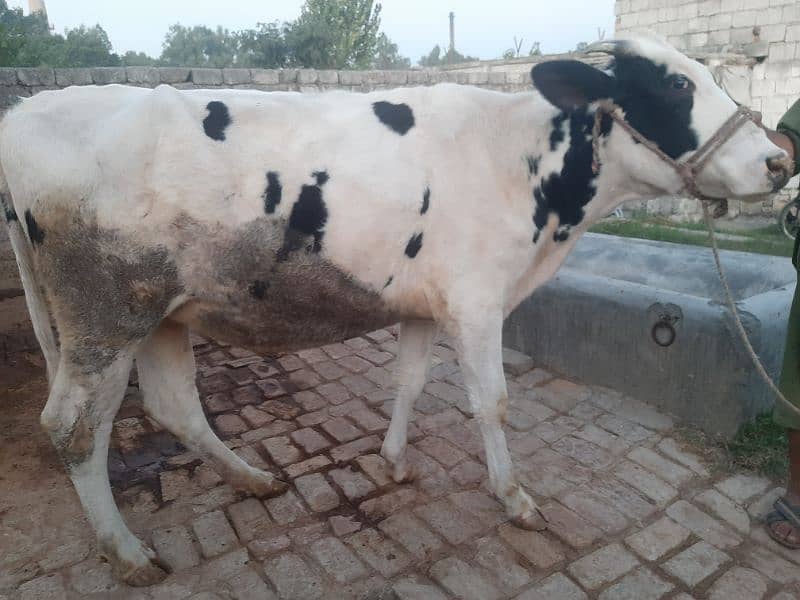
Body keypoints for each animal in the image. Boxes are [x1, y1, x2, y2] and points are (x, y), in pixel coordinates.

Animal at [0, 34, 788, 584]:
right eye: (678, 83)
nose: (780, 160)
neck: (524, 167)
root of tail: (29, 112)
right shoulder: (477, 301)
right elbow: (493, 404)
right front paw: (514, 498)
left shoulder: (426, 303)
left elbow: (408, 381)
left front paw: (395, 460)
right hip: (103, 314)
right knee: (73, 426)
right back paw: (128, 552)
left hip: (163, 310)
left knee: (174, 406)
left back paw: (252, 479)